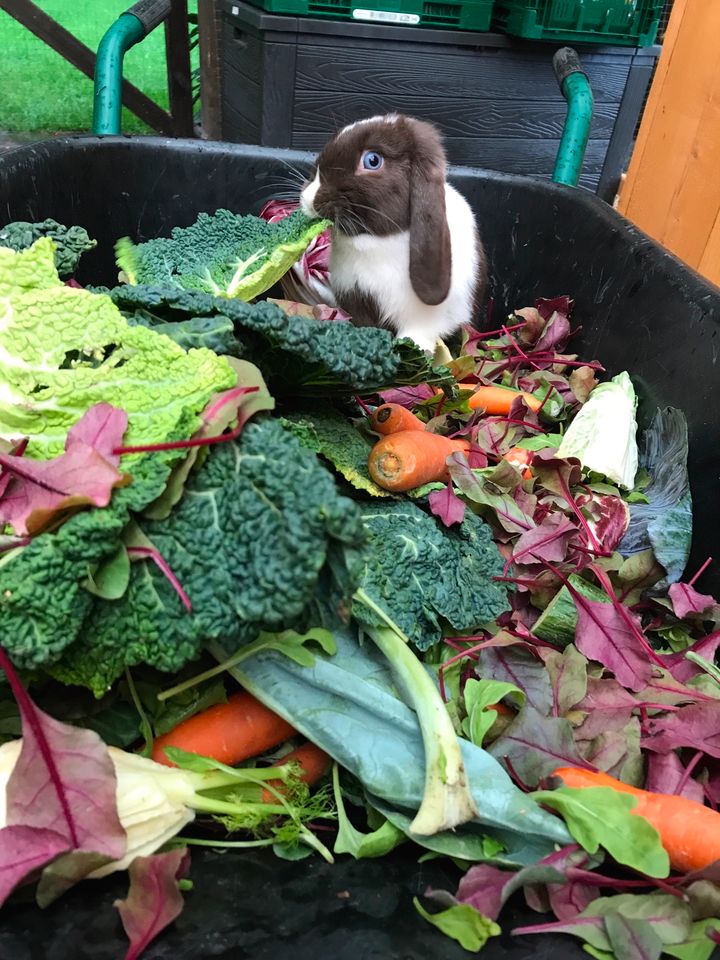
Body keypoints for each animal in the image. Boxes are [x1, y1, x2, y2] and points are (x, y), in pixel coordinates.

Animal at [300, 112, 486, 352]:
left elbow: (417, 338)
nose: (309, 200)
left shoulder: (422, 323)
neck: (374, 240)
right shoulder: (357, 304)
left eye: (372, 161)